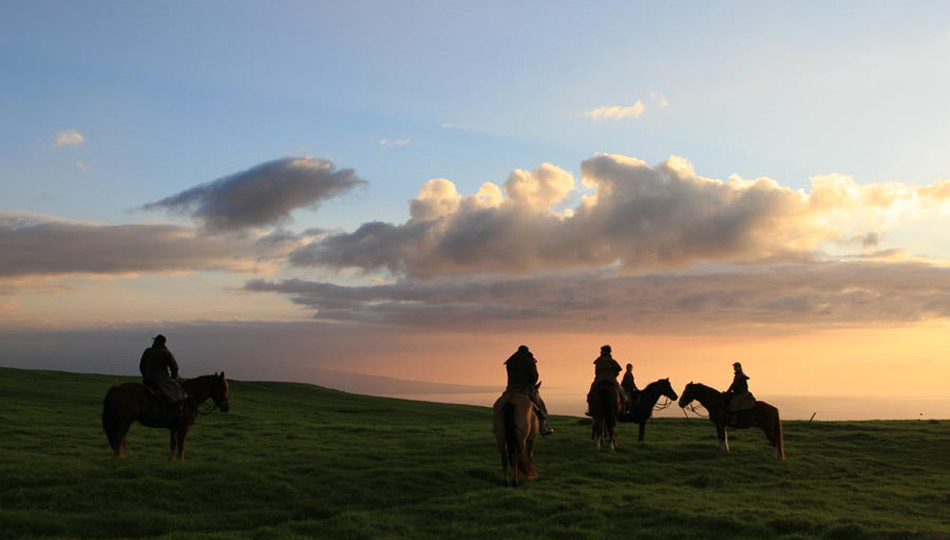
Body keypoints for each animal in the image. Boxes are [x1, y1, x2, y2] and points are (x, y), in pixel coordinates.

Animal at [102, 372, 232, 460]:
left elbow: (173, 444)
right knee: (118, 438)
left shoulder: (174, 427)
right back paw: (119, 458)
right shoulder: (184, 426)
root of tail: (115, 388)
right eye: (224, 387)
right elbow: (182, 444)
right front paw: (180, 461)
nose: (226, 407)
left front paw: (171, 460)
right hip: (124, 422)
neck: (190, 397)